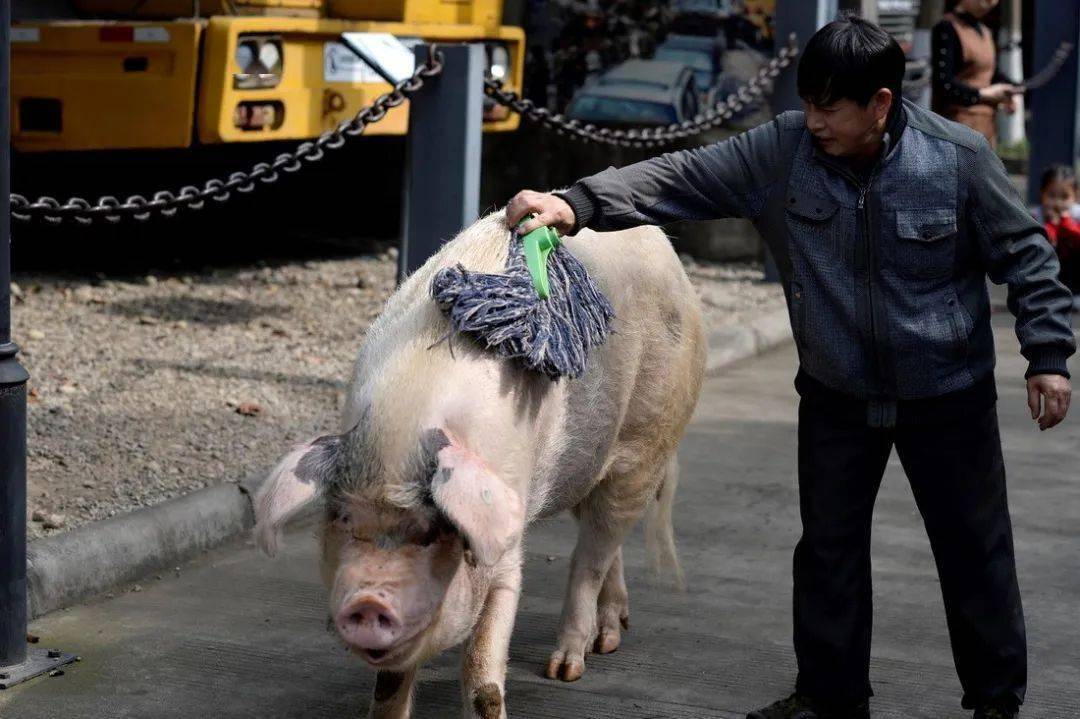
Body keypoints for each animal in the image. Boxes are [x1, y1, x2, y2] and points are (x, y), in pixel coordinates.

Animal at [252, 208, 708, 716]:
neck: (401, 435)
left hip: (647, 443)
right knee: (606, 545)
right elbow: (390, 682)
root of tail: (661, 243)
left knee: (593, 553)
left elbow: (483, 673)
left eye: (431, 533)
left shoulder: (507, 544)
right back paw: (608, 637)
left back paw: (568, 667)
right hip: (587, 464)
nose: (368, 600)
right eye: (343, 521)